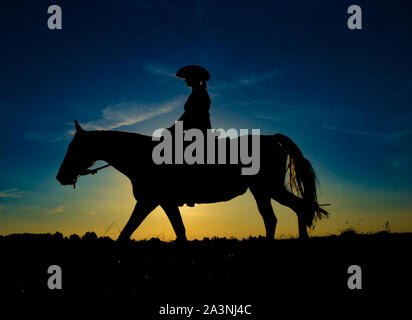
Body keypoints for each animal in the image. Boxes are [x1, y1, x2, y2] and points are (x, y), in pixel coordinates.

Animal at [57, 121, 328, 241]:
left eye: (74, 147)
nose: (60, 177)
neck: (141, 157)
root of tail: (272, 138)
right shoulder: (160, 202)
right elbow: (177, 231)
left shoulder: (151, 201)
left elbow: (128, 232)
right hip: (262, 190)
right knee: (276, 216)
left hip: (268, 188)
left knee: (294, 209)